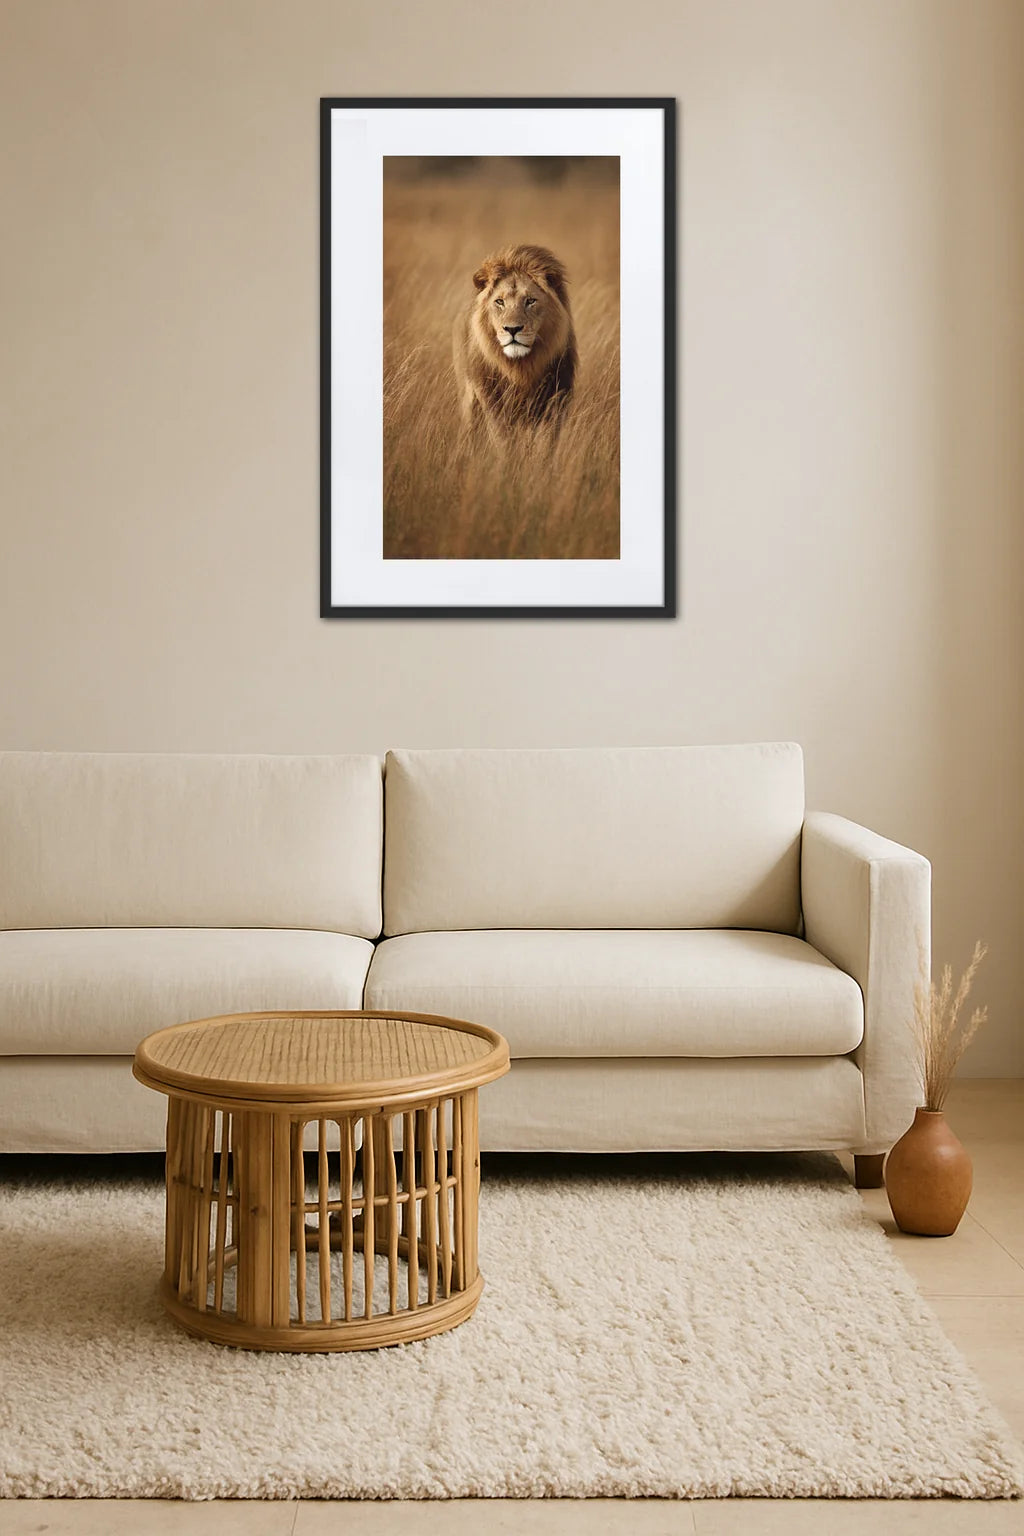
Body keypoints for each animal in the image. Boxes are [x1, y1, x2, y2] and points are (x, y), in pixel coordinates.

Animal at [452, 244, 577, 438]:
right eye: (499, 301)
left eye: (531, 301)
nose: (512, 329)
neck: (520, 368)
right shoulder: (494, 404)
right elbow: (504, 441)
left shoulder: (556, 400)